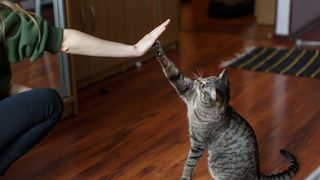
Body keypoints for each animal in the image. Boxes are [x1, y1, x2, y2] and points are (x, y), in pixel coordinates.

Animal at [151, 40, 298, 180]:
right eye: (205, 78)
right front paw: (156, 46)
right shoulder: (185, 88)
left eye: (203, 85)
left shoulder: (198, 143)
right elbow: (170, 69)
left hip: (215, 165)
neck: (197, 104)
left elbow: (189, 163)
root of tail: (257, 173)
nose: (197, 80)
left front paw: (185, 176)